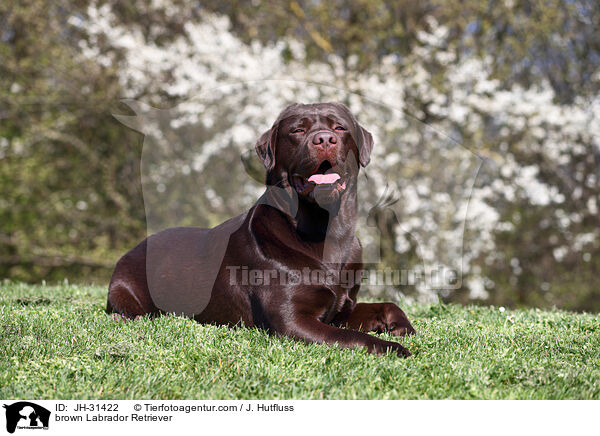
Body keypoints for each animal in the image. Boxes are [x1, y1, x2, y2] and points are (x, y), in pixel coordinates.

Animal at [108, 102, 414, 358]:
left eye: (340, 127)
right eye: (298, 130)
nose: (325, 139)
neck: (326, 230)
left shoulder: (342, 306)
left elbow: (387, 304)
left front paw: (400, 326)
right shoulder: (292, 320)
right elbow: (351, 337)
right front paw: (391, 347)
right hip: (125, 289)